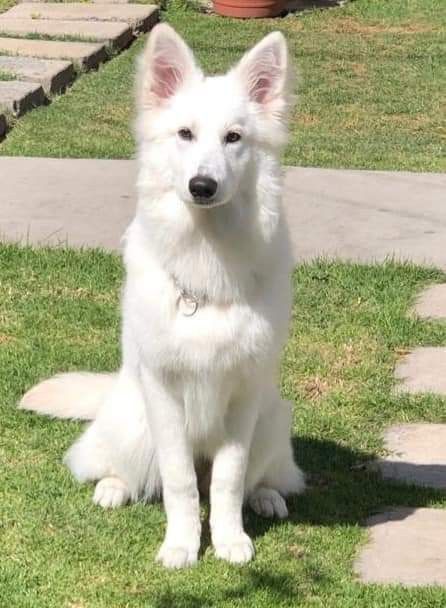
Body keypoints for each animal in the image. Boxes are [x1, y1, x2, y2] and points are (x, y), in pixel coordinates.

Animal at [20, 22, 306, 564]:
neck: (206, 263)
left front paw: (230, 539)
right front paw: (182, 546)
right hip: (134, 420)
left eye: (234, 138)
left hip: (272, 416)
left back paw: (267, 496)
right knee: (111, 465)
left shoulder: (244, 396)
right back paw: (113, 487)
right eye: (185, 134)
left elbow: (228, 480)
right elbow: (178, 481)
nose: (202, 185)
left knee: (263, 475)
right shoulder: (164, 393)